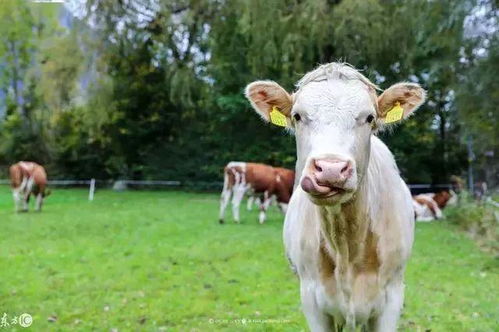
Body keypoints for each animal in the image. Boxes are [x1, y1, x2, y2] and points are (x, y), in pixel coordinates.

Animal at [246, 63, 426, 332]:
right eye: (297, 116)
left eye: (370, 117)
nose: (330, 169)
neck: (345, 242)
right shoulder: (312, 300)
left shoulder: (392, 297)